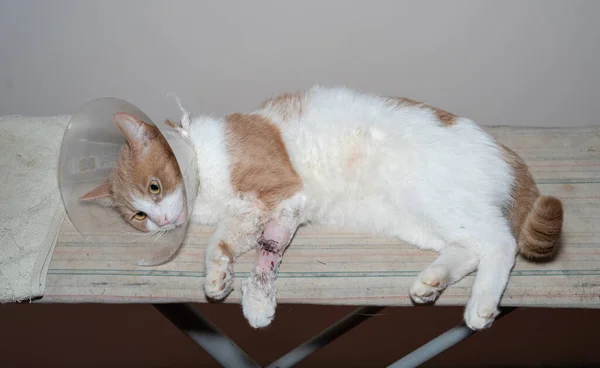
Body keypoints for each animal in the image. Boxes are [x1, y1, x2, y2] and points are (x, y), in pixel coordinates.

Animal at [79, 85, 564, 330]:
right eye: (138, 215)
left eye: (155, 187)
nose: (161, 220)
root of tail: (506, 154)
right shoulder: (248, 215)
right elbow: (222, 246)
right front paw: (220, 280)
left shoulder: (284, 196)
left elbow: (266, 253)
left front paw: (256, 301)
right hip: (423, 221)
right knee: (470, 249)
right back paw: (431, 283)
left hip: (439, 199)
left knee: (500, 243)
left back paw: (480, 307)